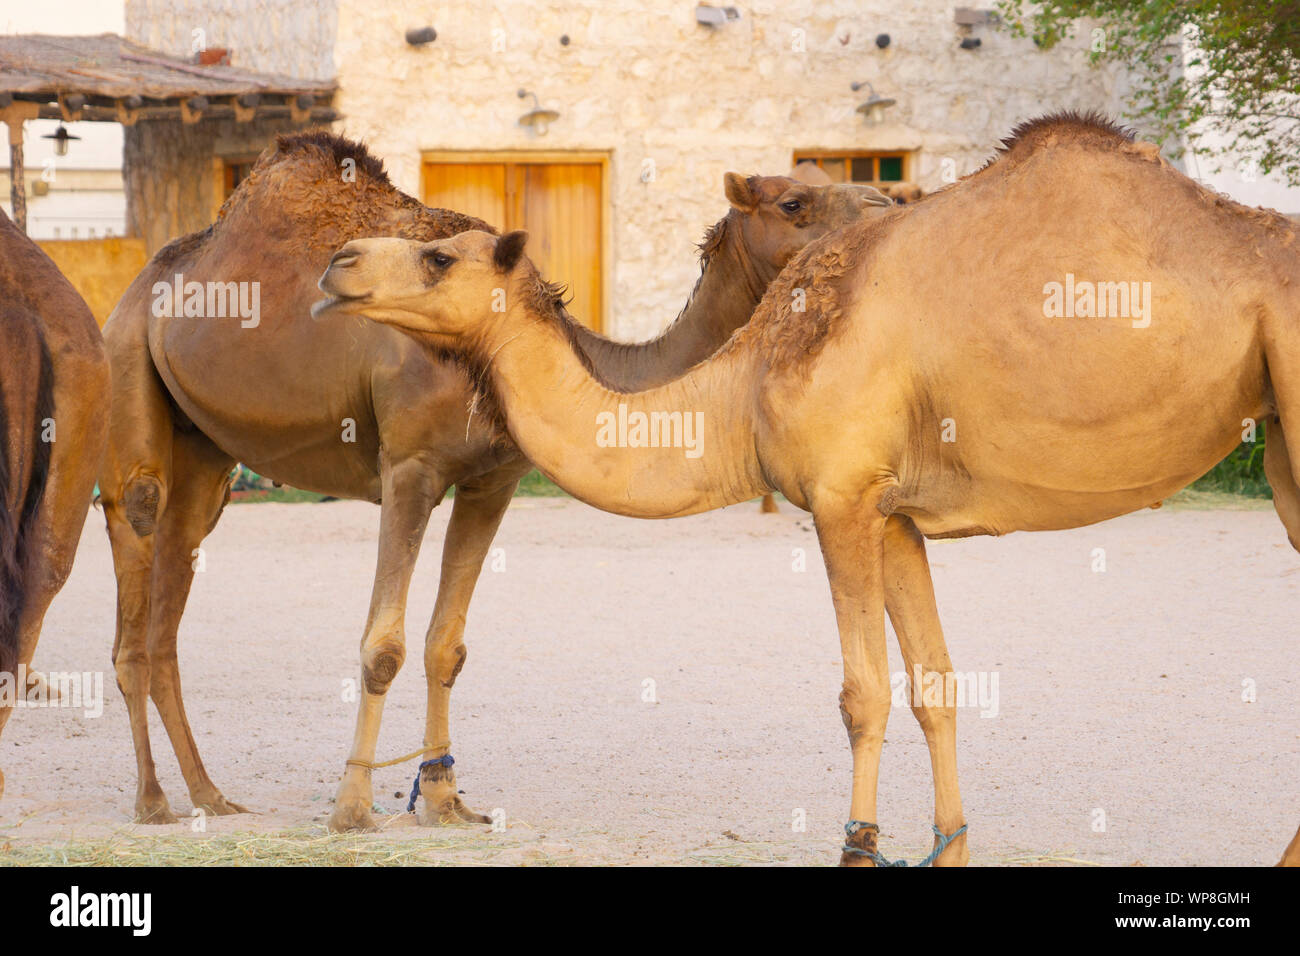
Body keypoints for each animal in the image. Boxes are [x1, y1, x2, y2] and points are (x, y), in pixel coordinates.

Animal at [96, 128, 878, 832]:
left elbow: (447, 645)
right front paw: (352, 808)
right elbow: (383, 646)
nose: (883, 202)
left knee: (174, 585)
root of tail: (139, 289)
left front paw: (444, 801)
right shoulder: (409, 467)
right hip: (130, 371)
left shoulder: (492, 481)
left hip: (207, 453)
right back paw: (153, 801)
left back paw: (209, 795)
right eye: (794, 201)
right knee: (137, 541)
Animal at [314, 111, 1300, 868]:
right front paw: (945, 842)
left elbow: (861, 695)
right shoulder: (893, 513)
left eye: (440, 259)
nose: (337, 267)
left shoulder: (840, 498)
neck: (743, 386)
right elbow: (934, 685)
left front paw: (858, 845)